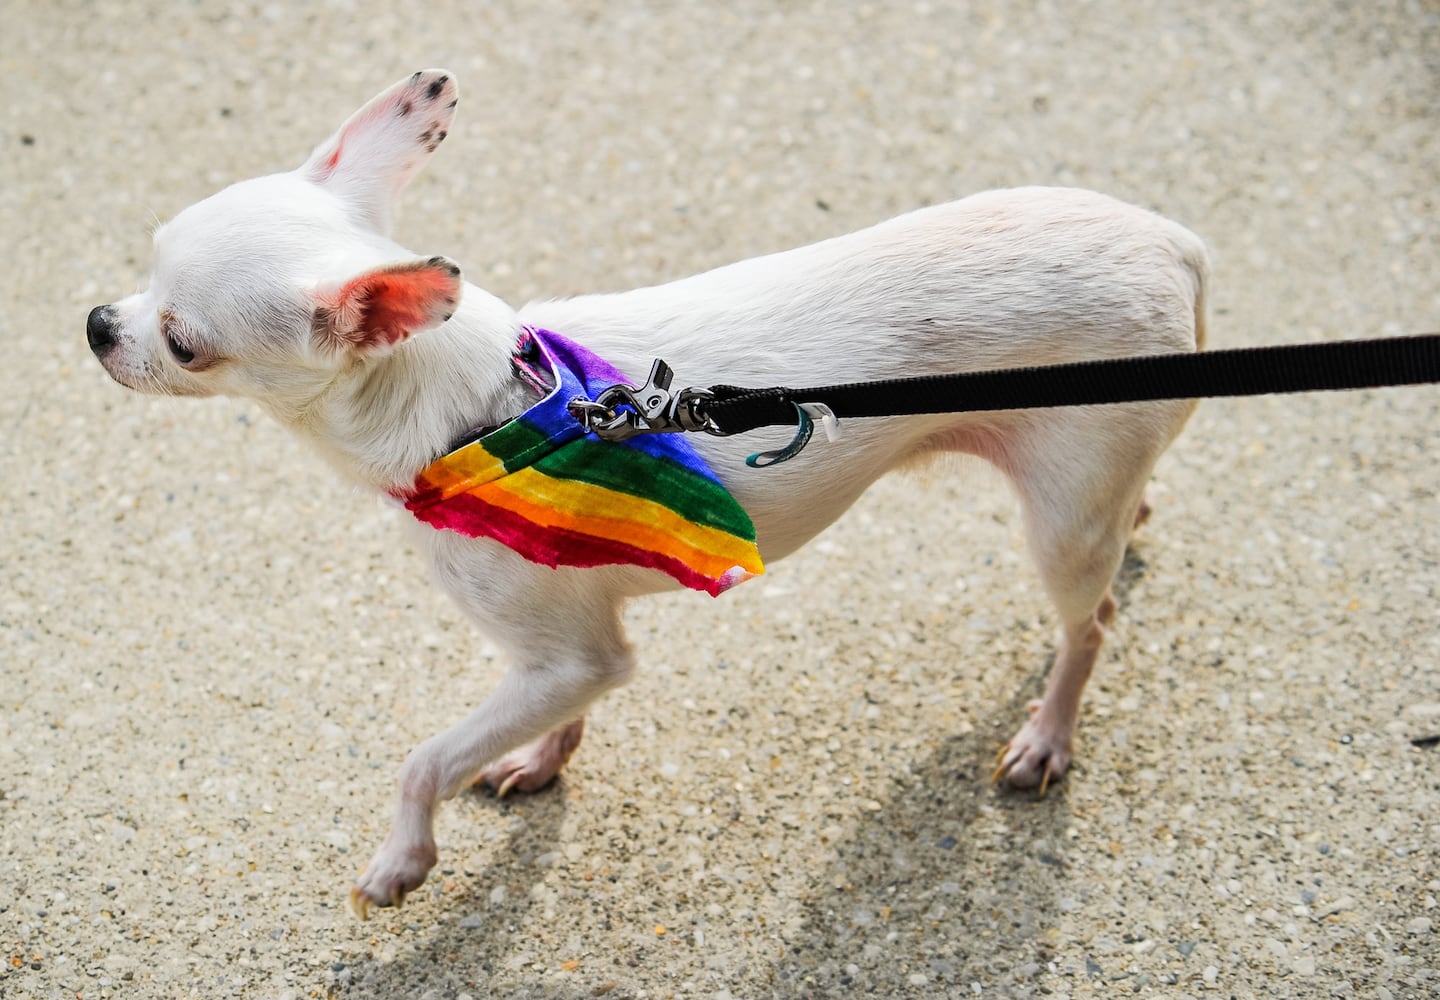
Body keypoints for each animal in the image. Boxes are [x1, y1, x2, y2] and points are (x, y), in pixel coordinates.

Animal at [90, 68, 1209, 916]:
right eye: (145, 261)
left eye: (185, 344)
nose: (99, 324)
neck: (487, 407)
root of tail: (1172, 238)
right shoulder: (570, 656)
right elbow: (556, 713)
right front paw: (544, 757)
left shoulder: (570, 656)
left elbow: (425, 760)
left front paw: (403, 859)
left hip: (1060, 526)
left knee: (1091, 624)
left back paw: (1048, 735)